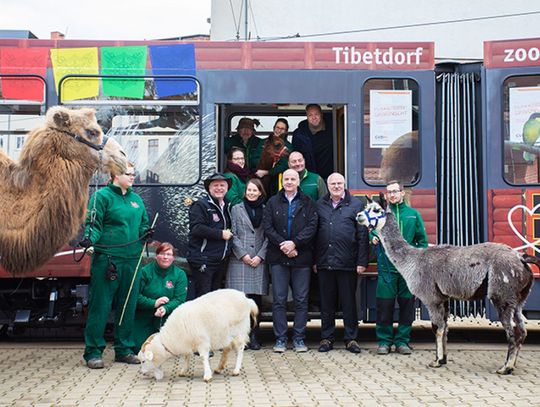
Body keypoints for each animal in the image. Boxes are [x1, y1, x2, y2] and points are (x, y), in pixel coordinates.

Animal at [356, 195, 536, 376]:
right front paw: (443, 359)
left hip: (502, 294)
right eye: (365, 207)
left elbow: (437, 328)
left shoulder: (431, 298)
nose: (359, 216)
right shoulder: (443, 297)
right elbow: (445, 328)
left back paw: (505, 368)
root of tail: (521, 258)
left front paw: (436, 361)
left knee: (512, 332)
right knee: (522, 330)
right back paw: (511, 365)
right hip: (518, 298)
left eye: (376, 210)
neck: (413, 261)